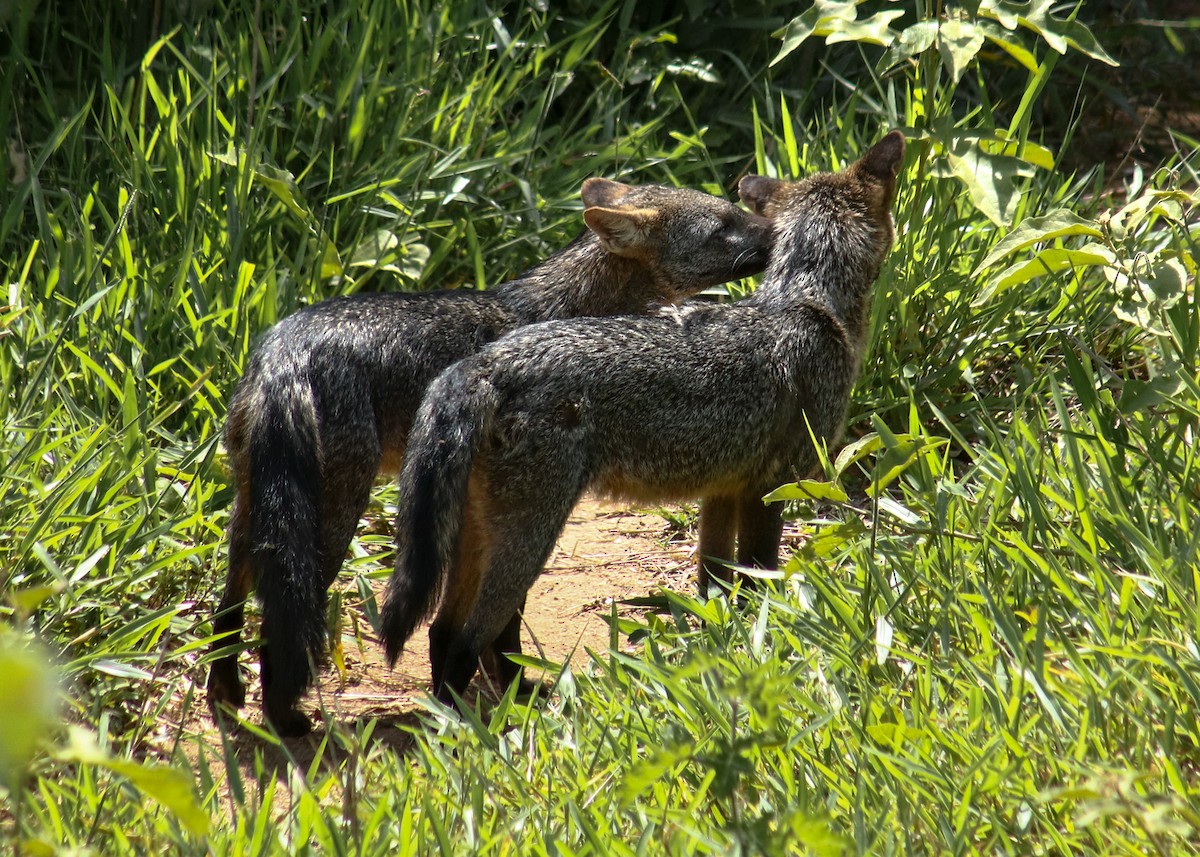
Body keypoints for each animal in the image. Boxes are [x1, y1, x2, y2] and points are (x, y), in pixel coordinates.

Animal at [205, 178, 772, 735]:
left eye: (735, 212)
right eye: (724, 225)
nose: (776, 229)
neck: (557, 308)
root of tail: (283, 351)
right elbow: (505, 622)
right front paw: (513, 689)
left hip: (255, 514)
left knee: (227, 609)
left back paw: (228, 693)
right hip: (333, 518)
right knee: (281, 614)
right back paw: (284, 717)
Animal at [379, 131, 905, 703]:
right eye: (724, 227)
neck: (804, 297)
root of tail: (487, 362)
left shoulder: (722, 490)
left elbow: (716, 586)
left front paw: (727, 645)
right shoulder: (769, 487)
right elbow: (758, 581)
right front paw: (762, 641)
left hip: (478, 538)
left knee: (442, 633)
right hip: (530, 540)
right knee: (465, 644)